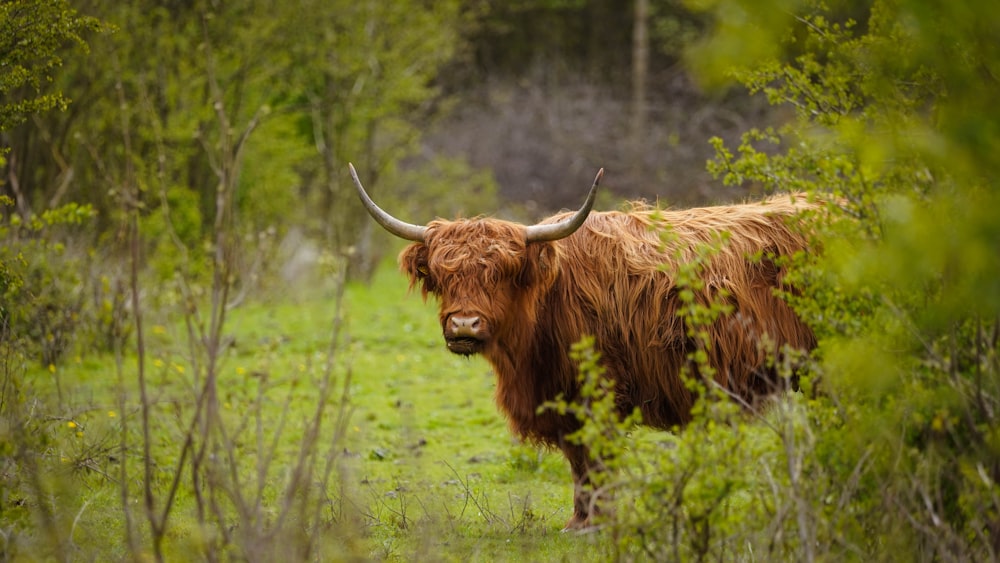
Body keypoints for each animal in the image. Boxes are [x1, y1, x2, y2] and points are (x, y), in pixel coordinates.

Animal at [352, 162, 820, 528]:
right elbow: (577, 458)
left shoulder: (596, 390)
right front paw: (580, 519)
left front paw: (593, 522)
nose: (464, 324)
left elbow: (593, 455)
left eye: (501, 274)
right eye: (444, 274)